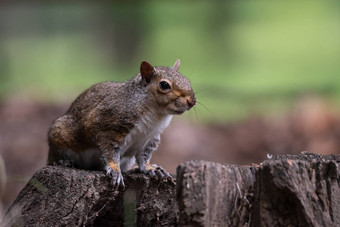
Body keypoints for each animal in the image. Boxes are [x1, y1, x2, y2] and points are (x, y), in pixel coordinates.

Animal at [47, 59, 197, 187]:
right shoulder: (111, 127)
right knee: (56, 154)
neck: (156, 114)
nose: (192, 101)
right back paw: (63, 162)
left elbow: (144, 157)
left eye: (187, 80)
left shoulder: (151, 137)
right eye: (164, 85)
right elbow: (110, 151)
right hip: (61, 135)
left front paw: (150, 168)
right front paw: (114, 170)